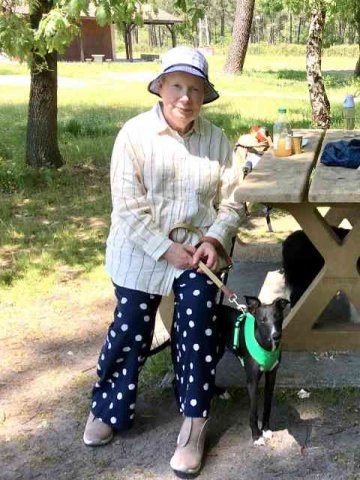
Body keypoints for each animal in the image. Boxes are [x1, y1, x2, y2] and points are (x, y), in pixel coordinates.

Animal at [217, 296, 290, 446]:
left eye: (278, 316)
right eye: (262, 320)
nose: (276, 336)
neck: (266, 346)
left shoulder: (271, 376)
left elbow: (267, 405)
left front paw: (266, 429)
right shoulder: (252, 381)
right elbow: (253, 410)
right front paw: (256, 435)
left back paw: (220, 392)